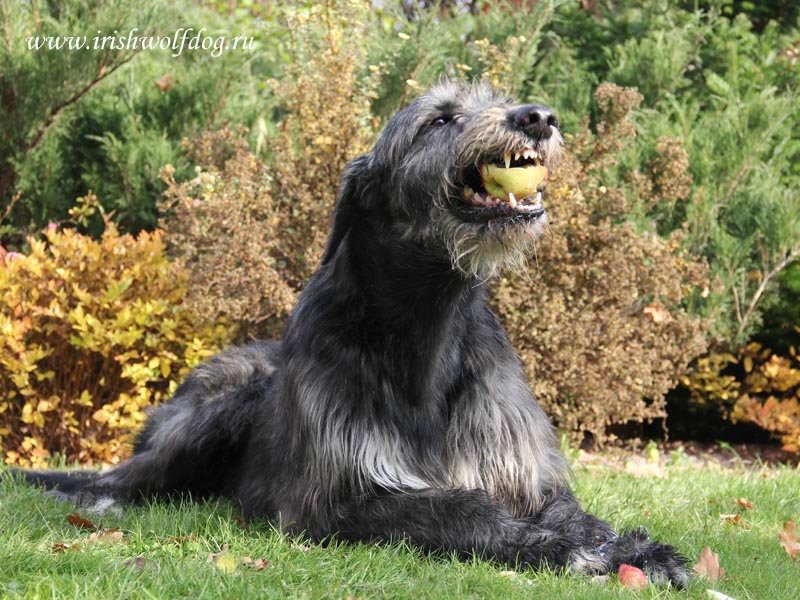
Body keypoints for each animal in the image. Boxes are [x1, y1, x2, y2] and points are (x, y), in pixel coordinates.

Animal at [21, 78, 692, 584]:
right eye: (439, 119)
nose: (540, 118)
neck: (426, 326)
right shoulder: (330, 502)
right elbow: (457, 509)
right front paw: (556, 548)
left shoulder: (520, 468)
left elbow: (571, 511)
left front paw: (628, 547)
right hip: (221, 405)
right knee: (114, 480)